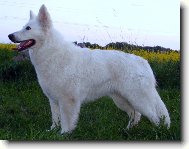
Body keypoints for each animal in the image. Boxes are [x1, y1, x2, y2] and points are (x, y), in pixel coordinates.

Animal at [8, 5, 171, 134]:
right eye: (23, 26)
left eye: (28, 28)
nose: (10, 35)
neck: (50, 52)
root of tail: (143, 61)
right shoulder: (53, 100)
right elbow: (55, 119)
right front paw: (52, 131)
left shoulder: (68, 100)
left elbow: (66, 120)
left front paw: (63, 134)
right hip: (122, 99)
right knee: (136, 115)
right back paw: (127, 130)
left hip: (138, 98)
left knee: (154, 116)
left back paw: (157, 132)